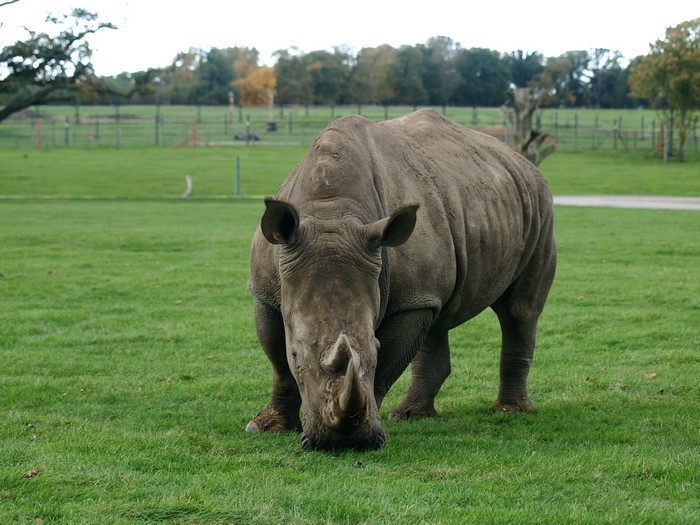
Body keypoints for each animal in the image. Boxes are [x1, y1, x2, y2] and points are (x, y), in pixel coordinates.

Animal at [246, 109, 556, 451]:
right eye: (297, 356)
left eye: (375, 348)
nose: (341, 444)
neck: (331, 211)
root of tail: (522, 161)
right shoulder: (266, 290)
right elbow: (278, 364)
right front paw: (266, 427)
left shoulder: (408, 300)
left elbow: (386, 367)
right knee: (438, 314)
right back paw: (412, 415)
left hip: (540, 208)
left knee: (519, 310)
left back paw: (509, 411)